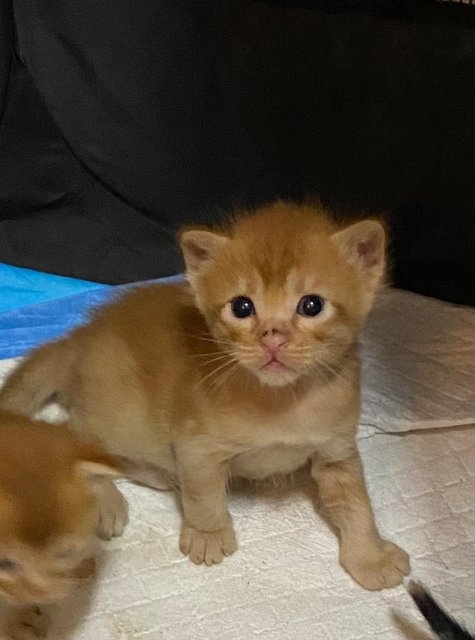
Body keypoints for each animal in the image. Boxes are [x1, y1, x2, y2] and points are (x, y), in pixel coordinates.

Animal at [0, 202, 410, 592]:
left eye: (312, 305)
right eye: (242, 307)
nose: (272, 336)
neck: (282, 399)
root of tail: (81, 336)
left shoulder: (336, 450)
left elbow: (356, 504)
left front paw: (370, 557)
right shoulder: (196, 444)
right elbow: (204, 495)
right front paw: (208, 535)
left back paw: (161, 475)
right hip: (121, 418)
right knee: (79, 437)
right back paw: (109, 500)